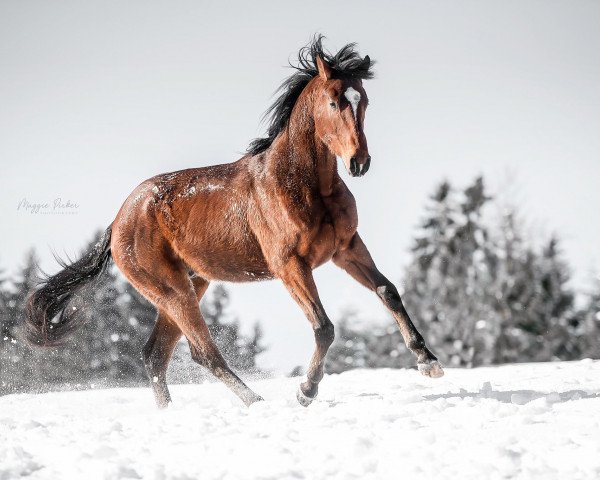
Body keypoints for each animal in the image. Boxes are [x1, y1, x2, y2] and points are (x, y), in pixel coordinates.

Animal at [25, 35, 442, 406]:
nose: (359, 163)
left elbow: (388, 291)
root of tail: (118, 221)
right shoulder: (290, 265)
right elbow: (323, 327)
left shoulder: (346, 248)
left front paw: (428, 362)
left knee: (155, 354)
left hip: (191, 284)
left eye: (364, 100)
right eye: (333, 100)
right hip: (173, 290)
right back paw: (255, 402)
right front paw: (306, 391)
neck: (303, 185)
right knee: (201, 352)